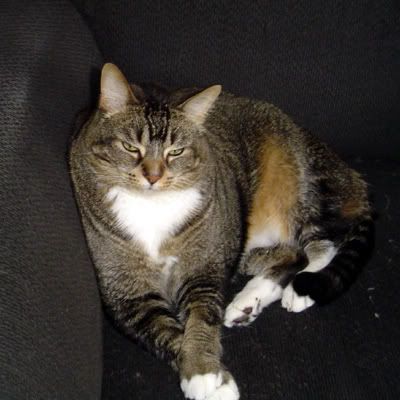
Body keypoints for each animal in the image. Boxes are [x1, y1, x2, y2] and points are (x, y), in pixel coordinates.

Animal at [69, 63, 372, 400]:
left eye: (176, 151)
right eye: (130, 147)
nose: (153, 176)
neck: (152, 204)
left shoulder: (204, 268)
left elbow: (201, 319)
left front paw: (205, 372)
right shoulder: (129, 295)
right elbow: (167, 332)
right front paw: (212, 382)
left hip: (294, 191)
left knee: (321, 244)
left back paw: (298, 289)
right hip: (244, 239)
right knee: (291, 254)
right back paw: (247, 303)